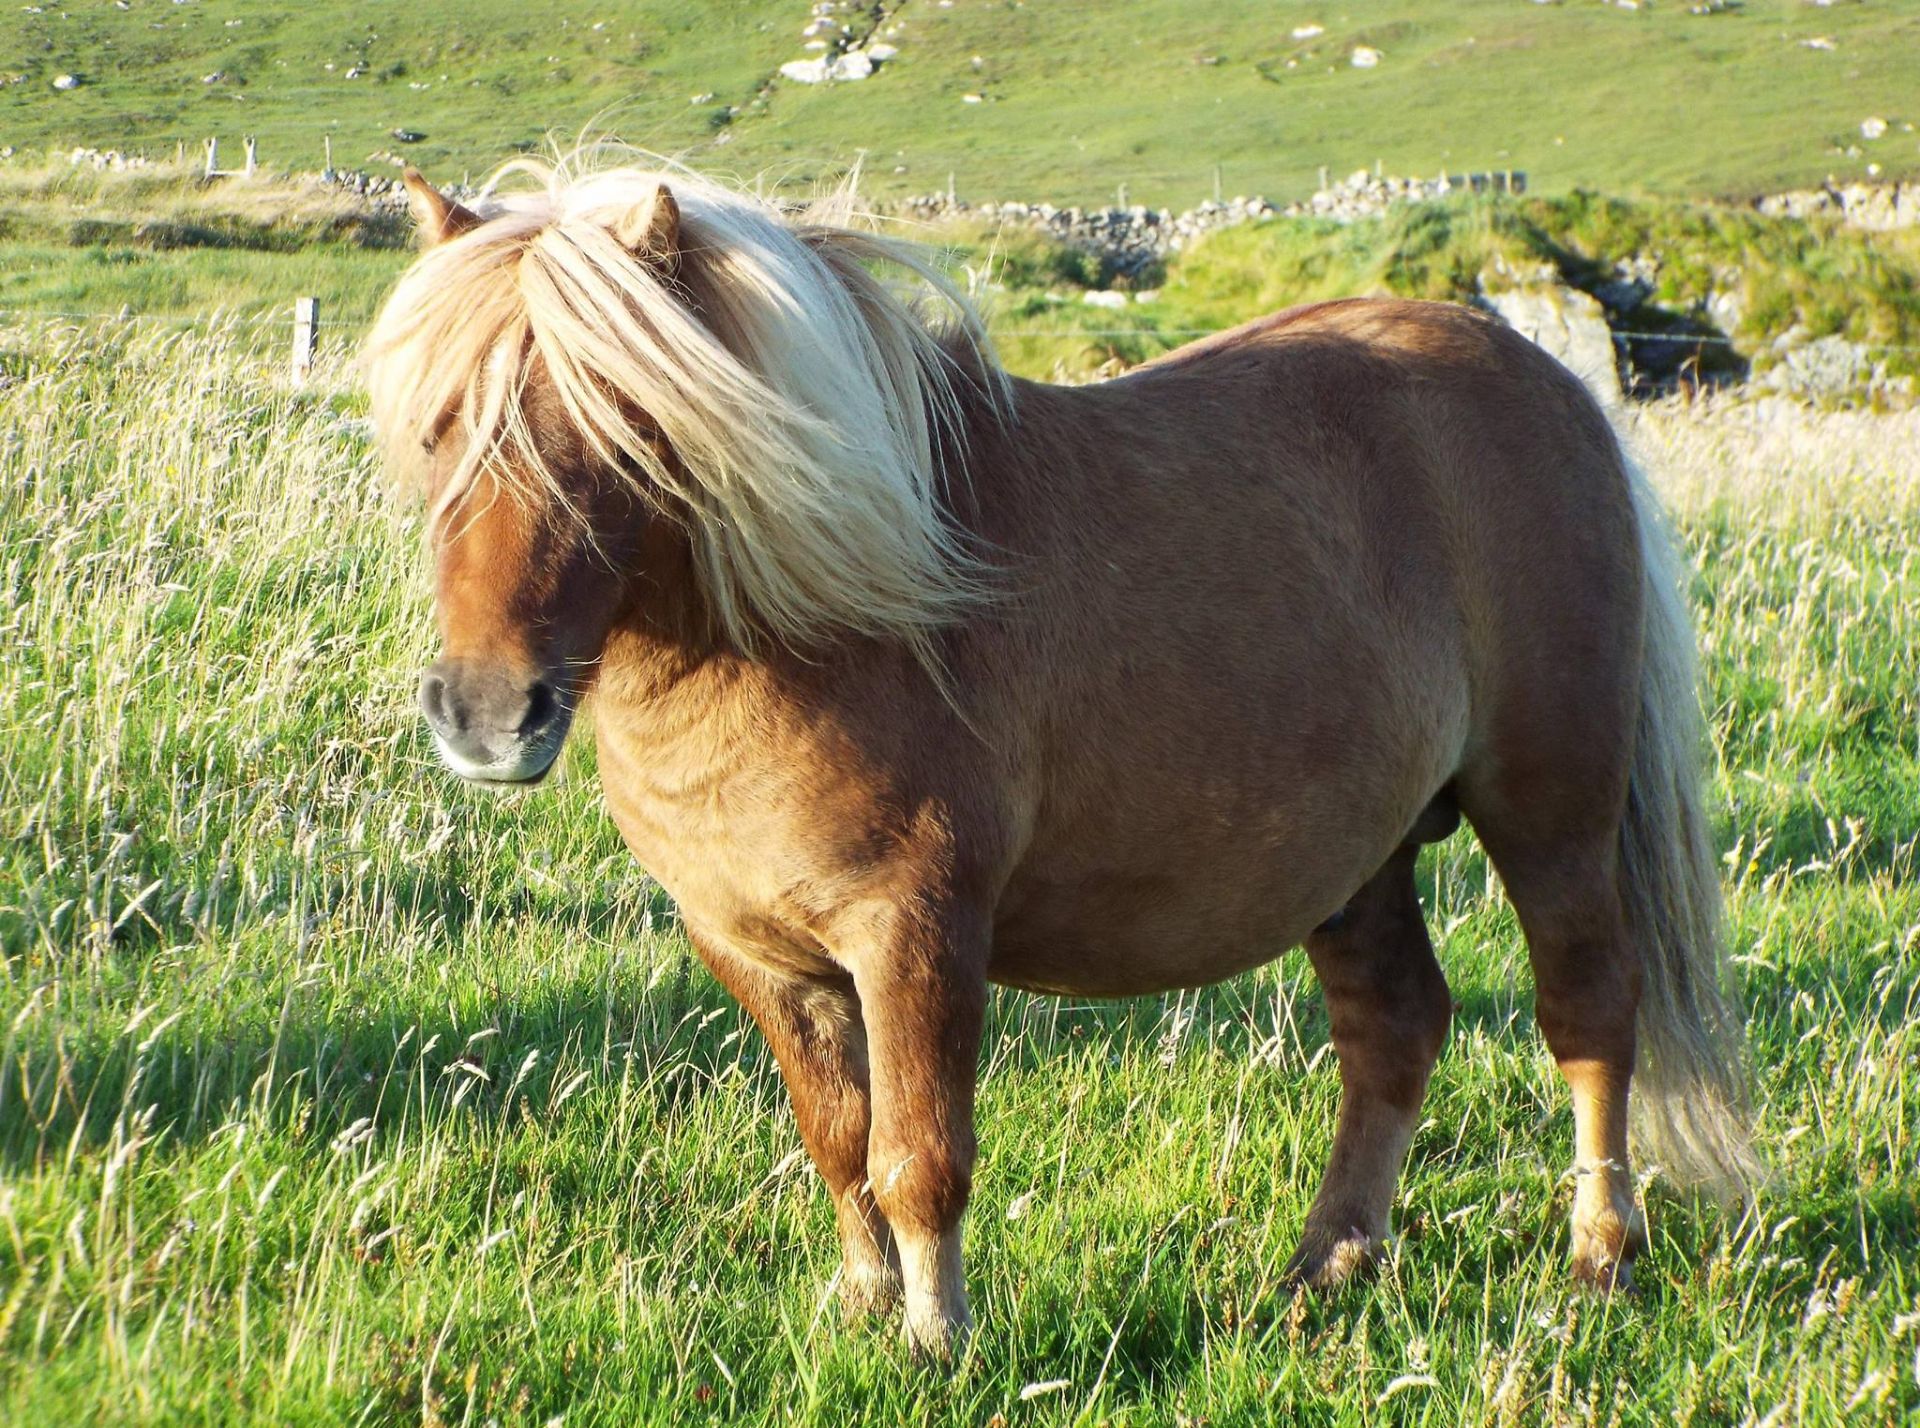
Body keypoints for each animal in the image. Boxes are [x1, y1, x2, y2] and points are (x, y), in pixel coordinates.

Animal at [362, 162, 1758, 1358]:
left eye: (619, 429)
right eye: (435, 430)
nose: (486, 714)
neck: (826, 612)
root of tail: (1550, 385)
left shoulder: (916, 933)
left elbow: (919, 1156)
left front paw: (938, 1341)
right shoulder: (755, 952)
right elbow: (838, 1140)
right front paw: (863, 1308)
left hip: (1551, 815)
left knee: (1589, 1015)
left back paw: (1598, 1257)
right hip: (1355, 861)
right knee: (1395, 1028)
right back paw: (1329, 1264)